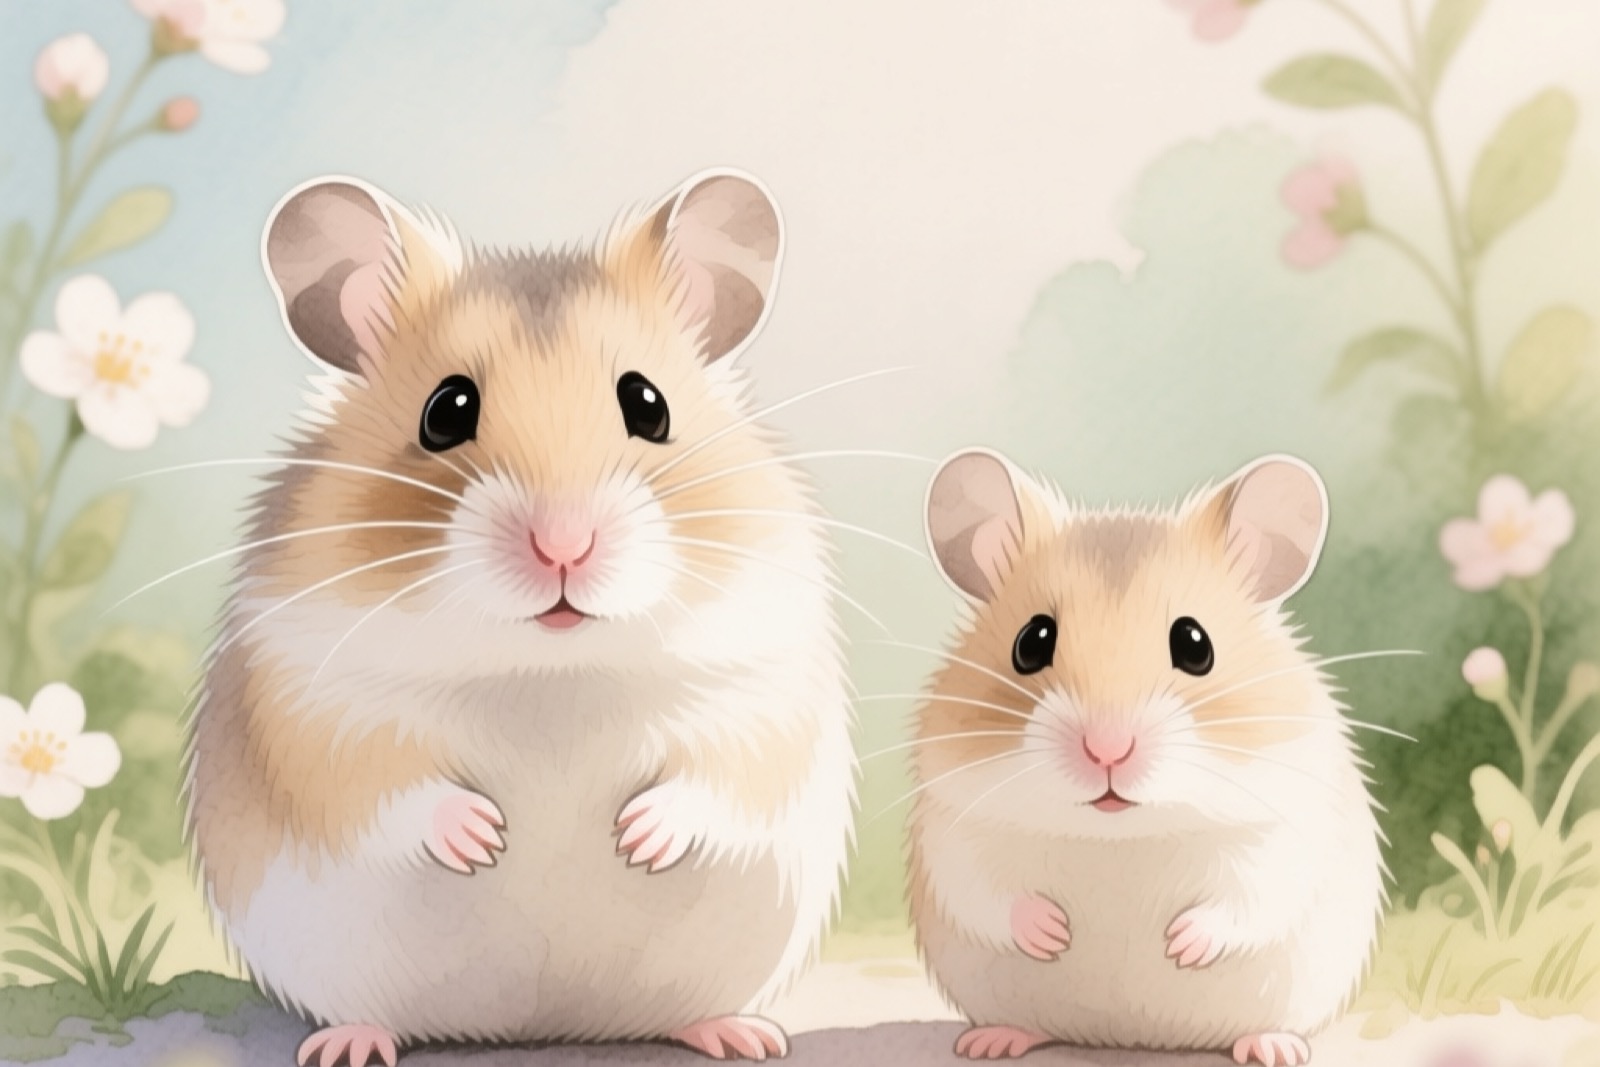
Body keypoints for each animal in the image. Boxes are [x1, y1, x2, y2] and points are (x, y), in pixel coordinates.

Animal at [183, 169, 857, 1066]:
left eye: (647, 403)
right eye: (445, 410)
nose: (563, 546)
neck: (548, 670)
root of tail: (538, 1028)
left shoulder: (763, 683)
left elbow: (721, 773)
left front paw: (635, 836)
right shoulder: (306, 699)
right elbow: (380, 780)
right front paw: (487, 837)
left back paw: (745, 1035)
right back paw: (347, 1046)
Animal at [905, 449, 1383, 1067]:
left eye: (1195, 644)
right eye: (1031, 642)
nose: (1108, 749)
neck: (1119, 835)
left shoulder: (1287, 829)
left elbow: (1249, 895)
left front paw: (1178, 943)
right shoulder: (954, 828)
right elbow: (987, 892)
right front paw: (1055, 933)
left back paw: (1274, 1048)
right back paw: (988, 1042)